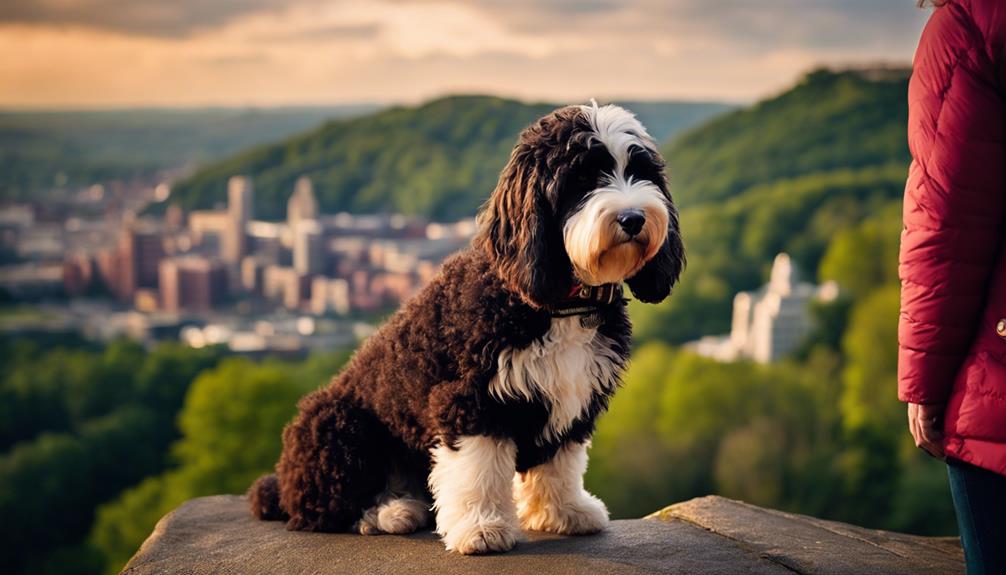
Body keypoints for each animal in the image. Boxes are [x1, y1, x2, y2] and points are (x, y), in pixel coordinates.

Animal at [251, 101, 688, 554]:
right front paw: (481, 527)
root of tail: (281, 482)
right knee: (321, 510)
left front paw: (564, 512)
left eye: (640, 172)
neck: (561, 302)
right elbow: (480, 469)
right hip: (339, 428)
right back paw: (389, 513)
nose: (633, 218)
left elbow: (560, 463)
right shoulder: (472, 399)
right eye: (583, 178)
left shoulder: (574, 395)